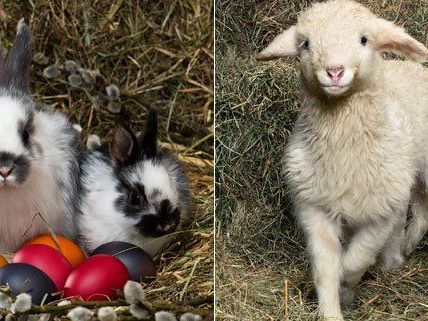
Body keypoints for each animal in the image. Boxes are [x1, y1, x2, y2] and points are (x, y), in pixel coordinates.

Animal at [258, 0, 428, 320]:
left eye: (364, 39)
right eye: (306, 44)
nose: (334, 71)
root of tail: (409, 66)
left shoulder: (379, 216)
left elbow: (353, 264)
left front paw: (347, 295)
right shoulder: (314, 207)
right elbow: (327, 268)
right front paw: (330, 310)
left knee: (421, 212)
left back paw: (403, 249)